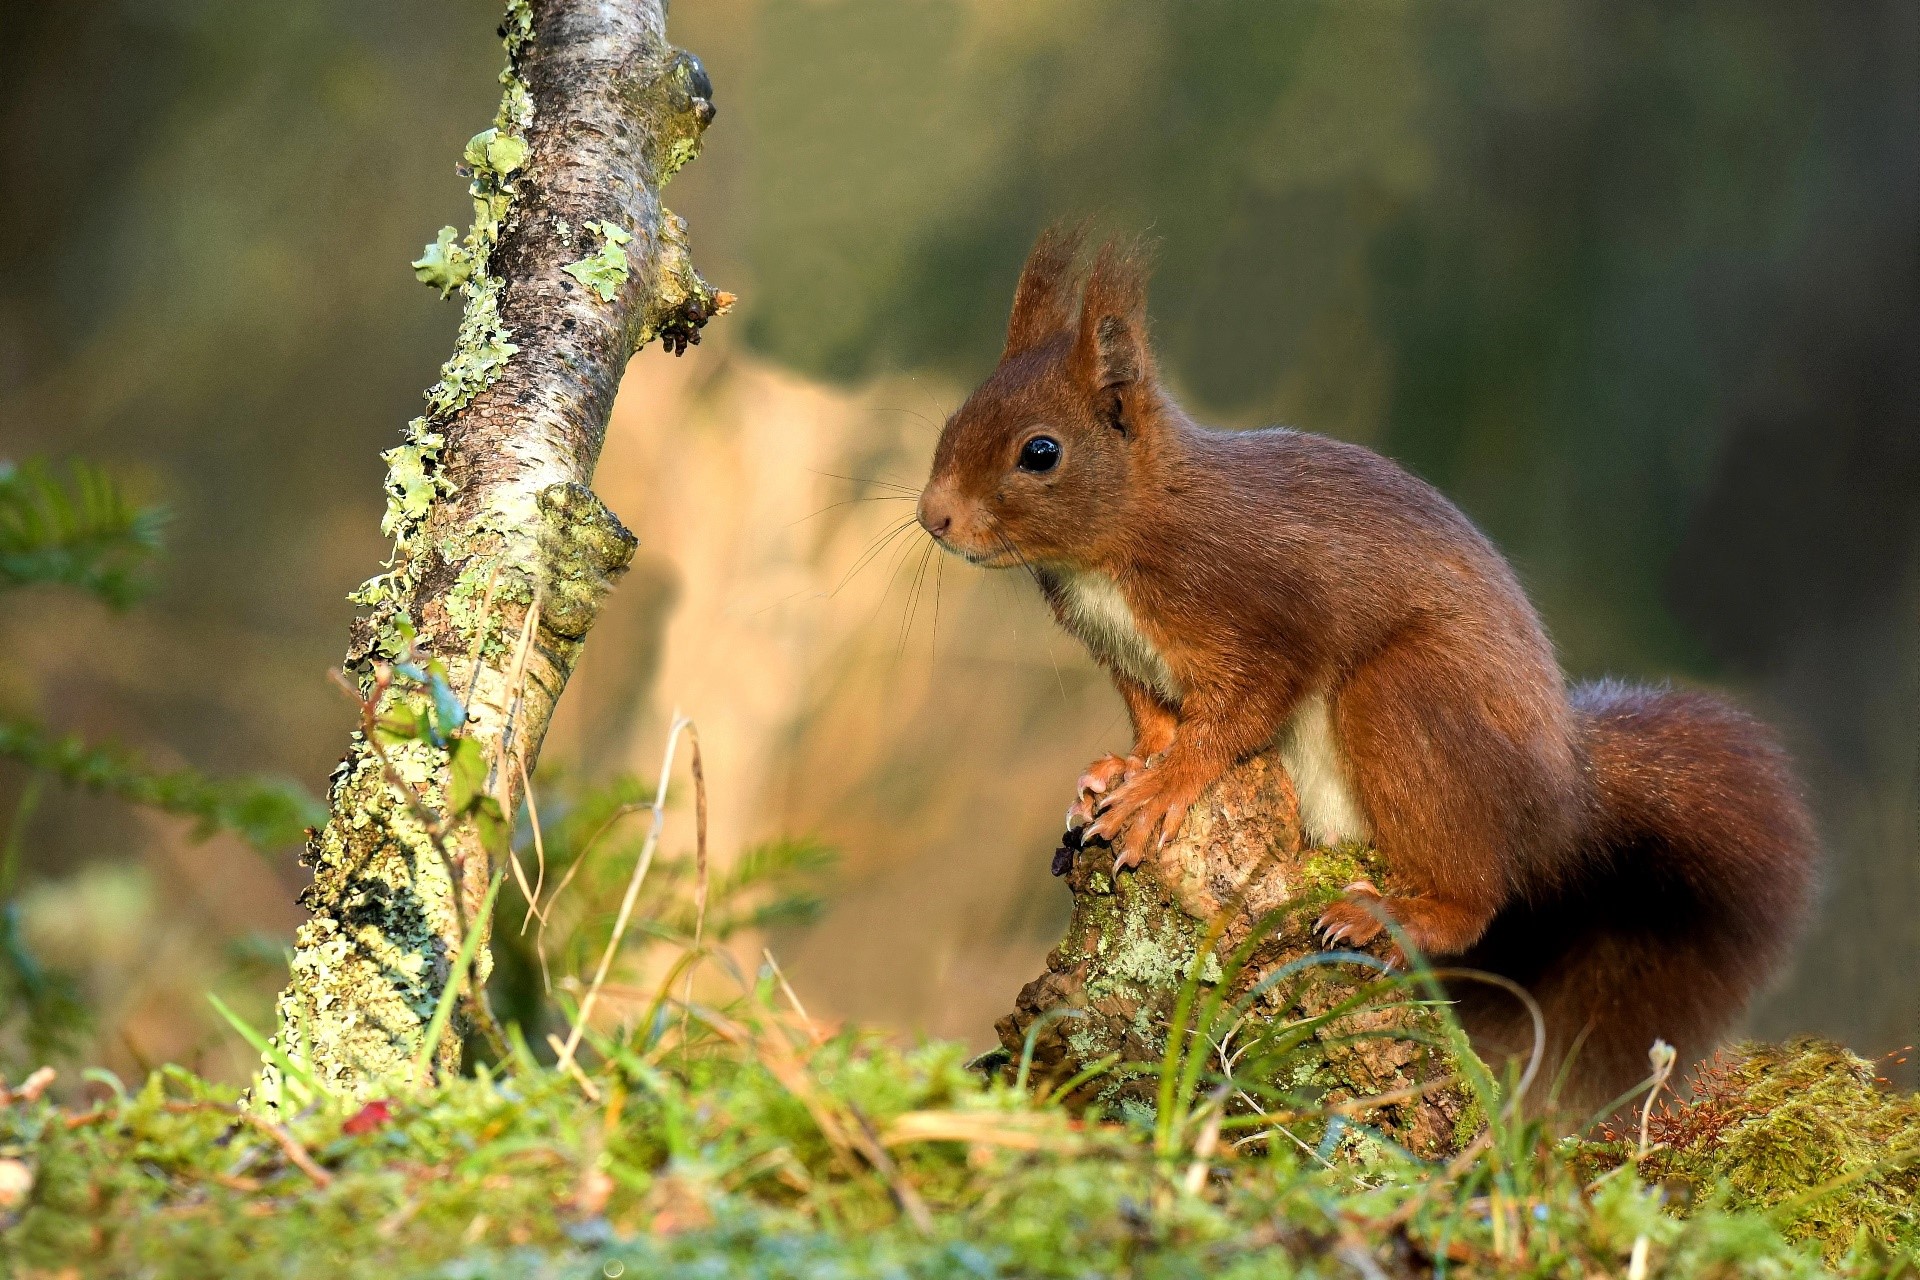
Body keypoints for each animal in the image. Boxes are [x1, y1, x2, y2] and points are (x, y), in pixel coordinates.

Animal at [915, 227, 1818, 1110]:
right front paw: (1117, 772)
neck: (1121, 541)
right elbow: (1155, 720)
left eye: (1040, 452)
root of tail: (1563, 802)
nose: (933, 516)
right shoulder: (1129, 658)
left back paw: (1392, 920)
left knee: (1474, 898)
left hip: (1405, 698)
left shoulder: (1264, 617)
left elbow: (1235, 717)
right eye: (956, 418)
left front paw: (1163, 790)